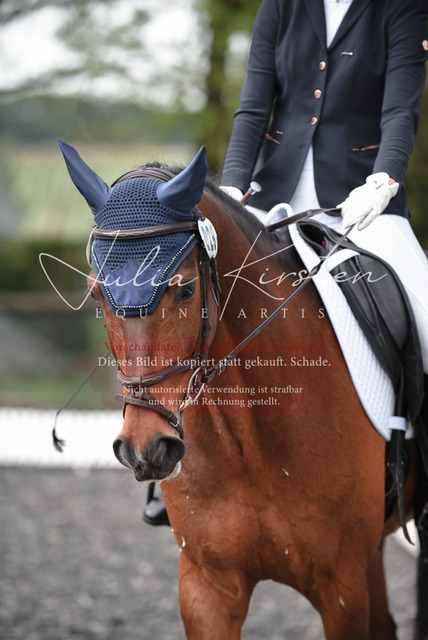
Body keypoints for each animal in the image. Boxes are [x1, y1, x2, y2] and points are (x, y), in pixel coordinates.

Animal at [59, 140, 426, 640]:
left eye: (185, 290)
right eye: (96, 294)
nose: (144, 450)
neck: (246, 439)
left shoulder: (342, 587)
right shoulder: (207, 588)